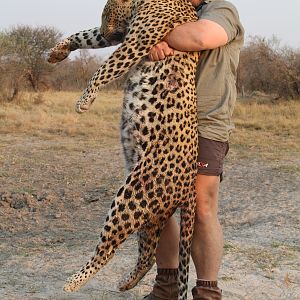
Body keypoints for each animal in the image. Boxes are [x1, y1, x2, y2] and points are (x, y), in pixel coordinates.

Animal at [48, 0, 199, 298]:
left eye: (107, 13)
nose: (110, 34)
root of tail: (190, 184)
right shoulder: (122, 35)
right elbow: (85, 35)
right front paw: (56, 52)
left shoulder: (136, 40)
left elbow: (106, 67)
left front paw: (84, 100)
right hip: (153, 213)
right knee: (148, 253)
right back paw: (126, 282)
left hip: (133, 195)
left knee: (108, 247)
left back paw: (73, 282)